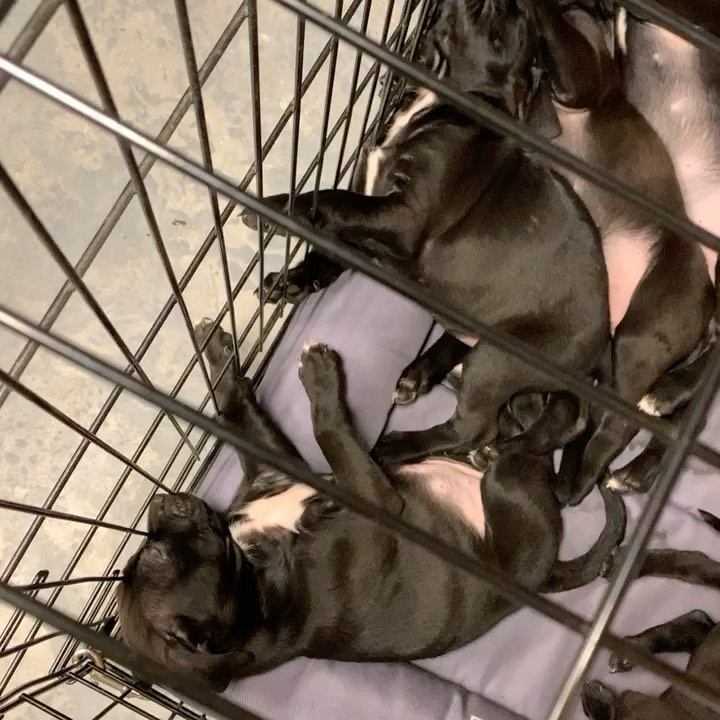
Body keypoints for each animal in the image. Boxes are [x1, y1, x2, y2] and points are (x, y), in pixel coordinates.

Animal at [116, 320, 624, 692]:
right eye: (154, 555)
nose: (159, 504)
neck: (248, 577)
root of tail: (543, 573)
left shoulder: (274, 471)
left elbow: (238, 412)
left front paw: (218, 354)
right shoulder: (378, 498)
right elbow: (332, 433)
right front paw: (320, 378)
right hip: (506, 486)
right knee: (537, 437)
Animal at [239, 0, 612, 464]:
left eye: (511, 24)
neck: (439, 100)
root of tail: (599, 347)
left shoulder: (402, 217)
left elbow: (332, 199)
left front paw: (273, 208)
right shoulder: (371, 207)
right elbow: (333, 237)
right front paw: (294, 278)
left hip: (498, 359)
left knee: (474, 427)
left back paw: (397, 446)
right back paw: (421, 376)